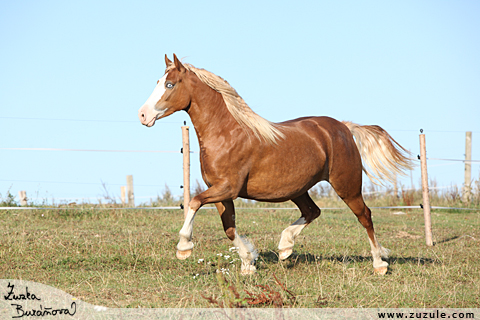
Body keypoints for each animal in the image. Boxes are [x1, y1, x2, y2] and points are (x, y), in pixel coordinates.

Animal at [138, 54, 412, 276]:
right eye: (158, 82)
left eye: (170, 84)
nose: (142, 115)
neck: (226, 133)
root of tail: (344, 127)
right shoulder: (221, 193)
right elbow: (229, 228)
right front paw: (249, 262)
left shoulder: (227, 188)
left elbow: (194, 202)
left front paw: (184, 247)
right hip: (298, 189)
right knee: (313, 211)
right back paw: (285, 247)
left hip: (347, 185)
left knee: (364, 216)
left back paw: (379, 264)